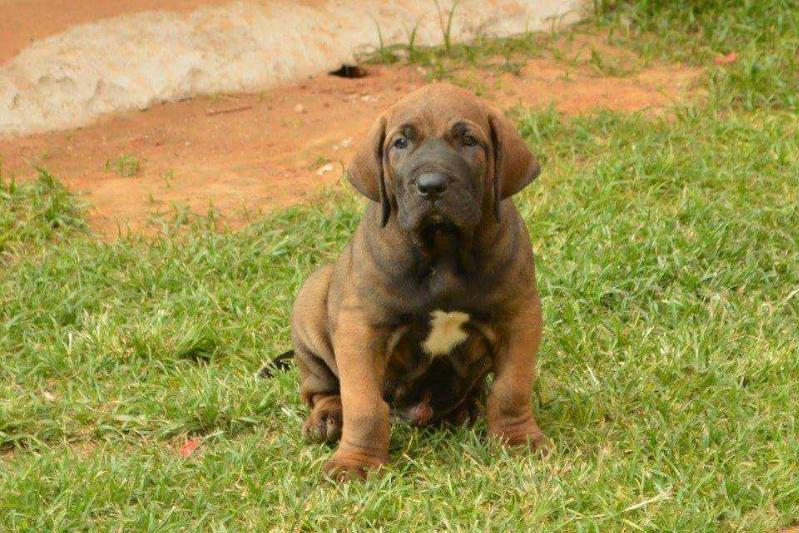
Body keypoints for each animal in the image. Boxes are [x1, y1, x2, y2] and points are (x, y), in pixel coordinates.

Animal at [290, 82, 548, 478]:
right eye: (400, 143)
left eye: (469, 141)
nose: (431, 186)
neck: (442, 249)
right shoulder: (361, 328)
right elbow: (364, 404)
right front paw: (356, 463)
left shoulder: (519, 316)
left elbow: (511, 388)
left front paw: (518, 439)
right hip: (312, 297)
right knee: (324, 388)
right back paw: (328, 418)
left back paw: (467, 408)